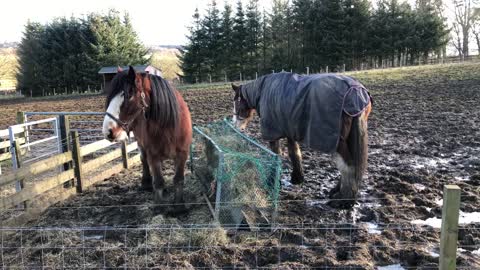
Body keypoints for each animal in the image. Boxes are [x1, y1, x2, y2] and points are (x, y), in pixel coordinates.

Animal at [102, 65, 192, 207]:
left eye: (129, 95)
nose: (108, 131)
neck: (168, 125)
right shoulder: (153, 155)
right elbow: (159, 181)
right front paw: (159, 206)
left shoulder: (182, 154)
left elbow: (178, 179)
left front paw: (179, 206)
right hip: (141, 144)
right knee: (143, 159)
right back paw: (146, 183)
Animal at [232, 72, 372, 209]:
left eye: (236, 103)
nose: (235, 126)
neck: (263, 90)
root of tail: (355, 91)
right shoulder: (289, 131)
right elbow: (294, 153)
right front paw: (297, 178)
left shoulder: (273, 134)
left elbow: (276, 155)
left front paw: (272, 181)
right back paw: (336, 192)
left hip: (338, 143)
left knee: (348, 165)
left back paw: (343, 200)